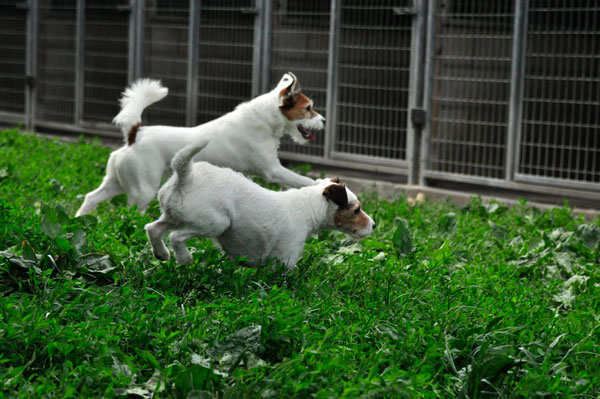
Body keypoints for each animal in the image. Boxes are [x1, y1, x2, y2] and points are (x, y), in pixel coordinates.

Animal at [78, 71, 328, 216]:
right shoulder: (273, 170)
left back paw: (79, 219)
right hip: (142, 191)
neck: (264, 119)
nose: (324, 120)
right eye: (308, 109)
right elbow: (302, 179)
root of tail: (134, 135)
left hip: (117, 182)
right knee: (129, 213)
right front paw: (320, 184)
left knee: (92, 197)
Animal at [143, 141, 376, 268]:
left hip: (173, 215)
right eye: (356, 210)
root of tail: (187, 175)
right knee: (176, 236)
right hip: (214, 223)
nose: (374, 225)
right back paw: (184, 258)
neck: (310, 205)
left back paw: (161, 254)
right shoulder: (285, 259)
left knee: (153, 228)